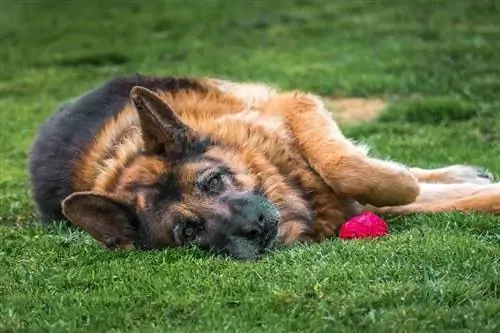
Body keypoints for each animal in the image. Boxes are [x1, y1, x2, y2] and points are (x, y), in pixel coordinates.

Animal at [27, 75, 500, 260]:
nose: (252, 230)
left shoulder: (294, 105)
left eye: (214, 181)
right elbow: (446, 202)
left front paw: (400, 179)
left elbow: (347, 166)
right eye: (189, 232)